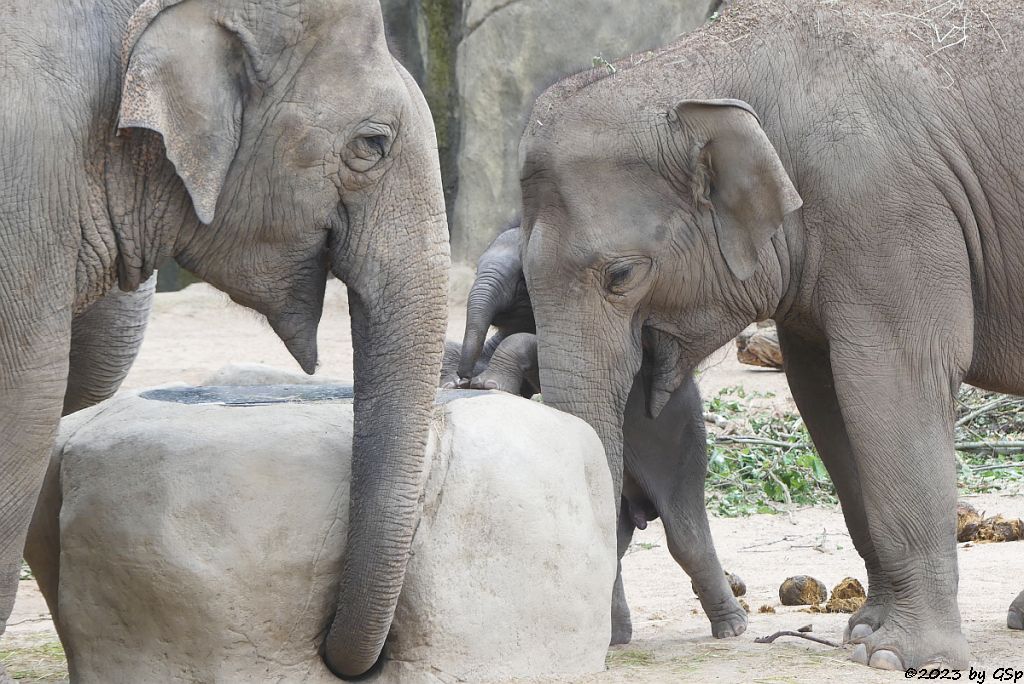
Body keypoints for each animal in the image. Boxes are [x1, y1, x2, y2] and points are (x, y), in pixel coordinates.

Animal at [446, 227, 745, 643]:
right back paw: (616, 637)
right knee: (615, 538)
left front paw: (489, 384)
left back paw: (732, 628)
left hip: (683, 446)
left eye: (522, 280)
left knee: (684, 532)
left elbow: (530, 345)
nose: (463, 377)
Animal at [516, 0, 1024, 671]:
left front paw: (897, 657)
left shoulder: (889, 209)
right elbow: (825, 393)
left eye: (621, 275)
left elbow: (894, 376)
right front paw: (863, 632)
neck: (711, 68)